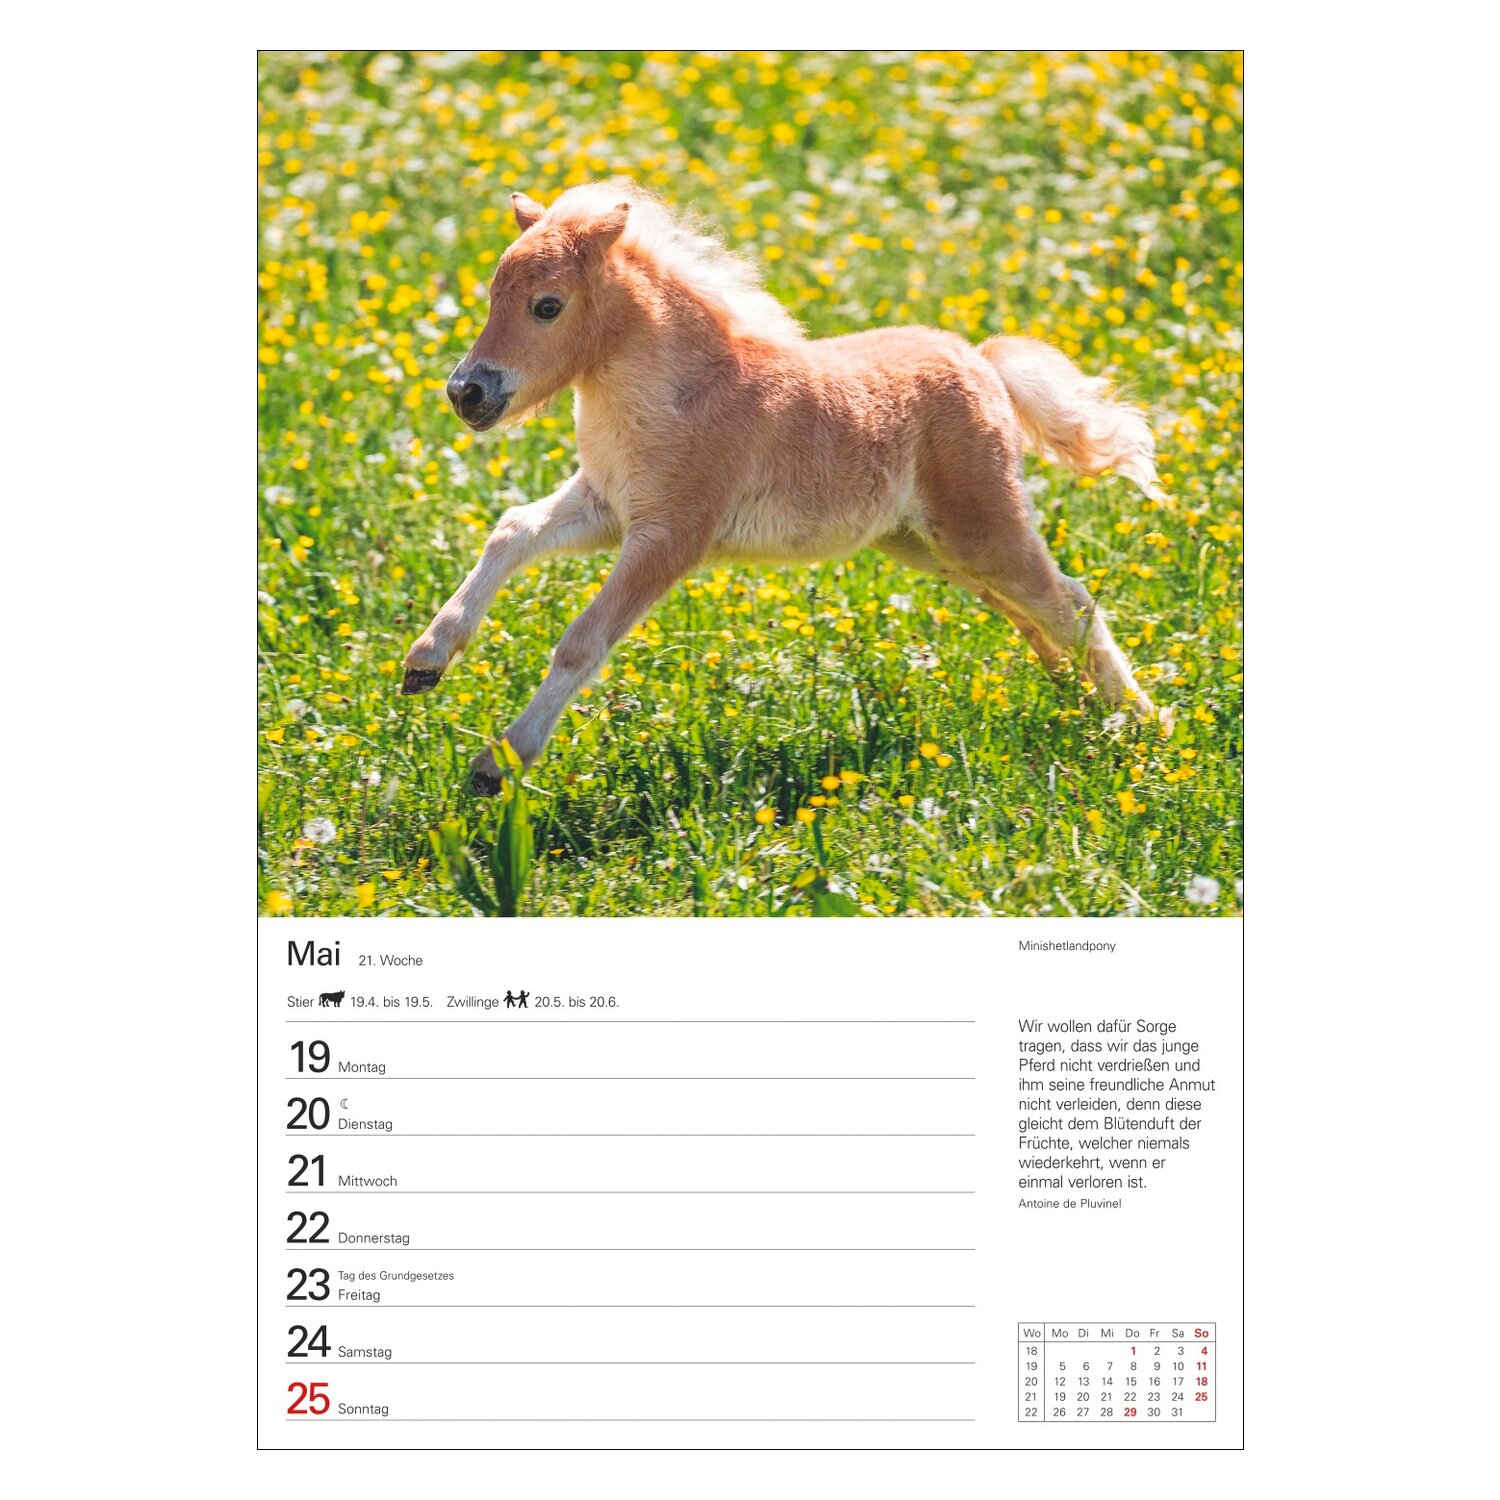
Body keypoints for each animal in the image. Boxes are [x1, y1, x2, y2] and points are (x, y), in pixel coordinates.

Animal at [402, 181, 1170, 795]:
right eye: (492, 295)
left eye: (547, 306)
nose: (467, 393)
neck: (677, 393)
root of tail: (982, 362)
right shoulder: (608, 506)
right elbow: (512, 529)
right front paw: (426, 661)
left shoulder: (671, 535)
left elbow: (582, 641)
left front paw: (499, 761)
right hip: (923, 544)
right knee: (1034, 611)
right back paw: (1081, 701)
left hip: (981, 525)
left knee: (1068, 601)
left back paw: (1147, 726)